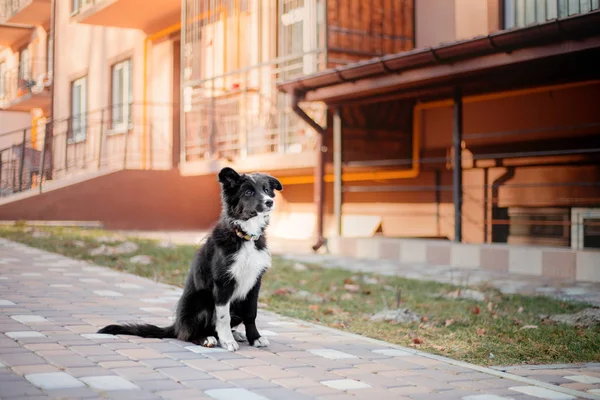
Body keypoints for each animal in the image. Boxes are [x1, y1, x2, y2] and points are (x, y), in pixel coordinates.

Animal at [99, 166, 284, 350]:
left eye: (266, 190)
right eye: (248, 192)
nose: (269, 202)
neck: (244, 237)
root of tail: (176, 326)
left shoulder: (255, 282)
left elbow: (251, 314)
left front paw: (254, 338)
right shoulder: (222, 283)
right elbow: (223, 317)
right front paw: (227, 341)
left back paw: (235, 335)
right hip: (203, 299)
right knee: (187, 334)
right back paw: (206, 338)